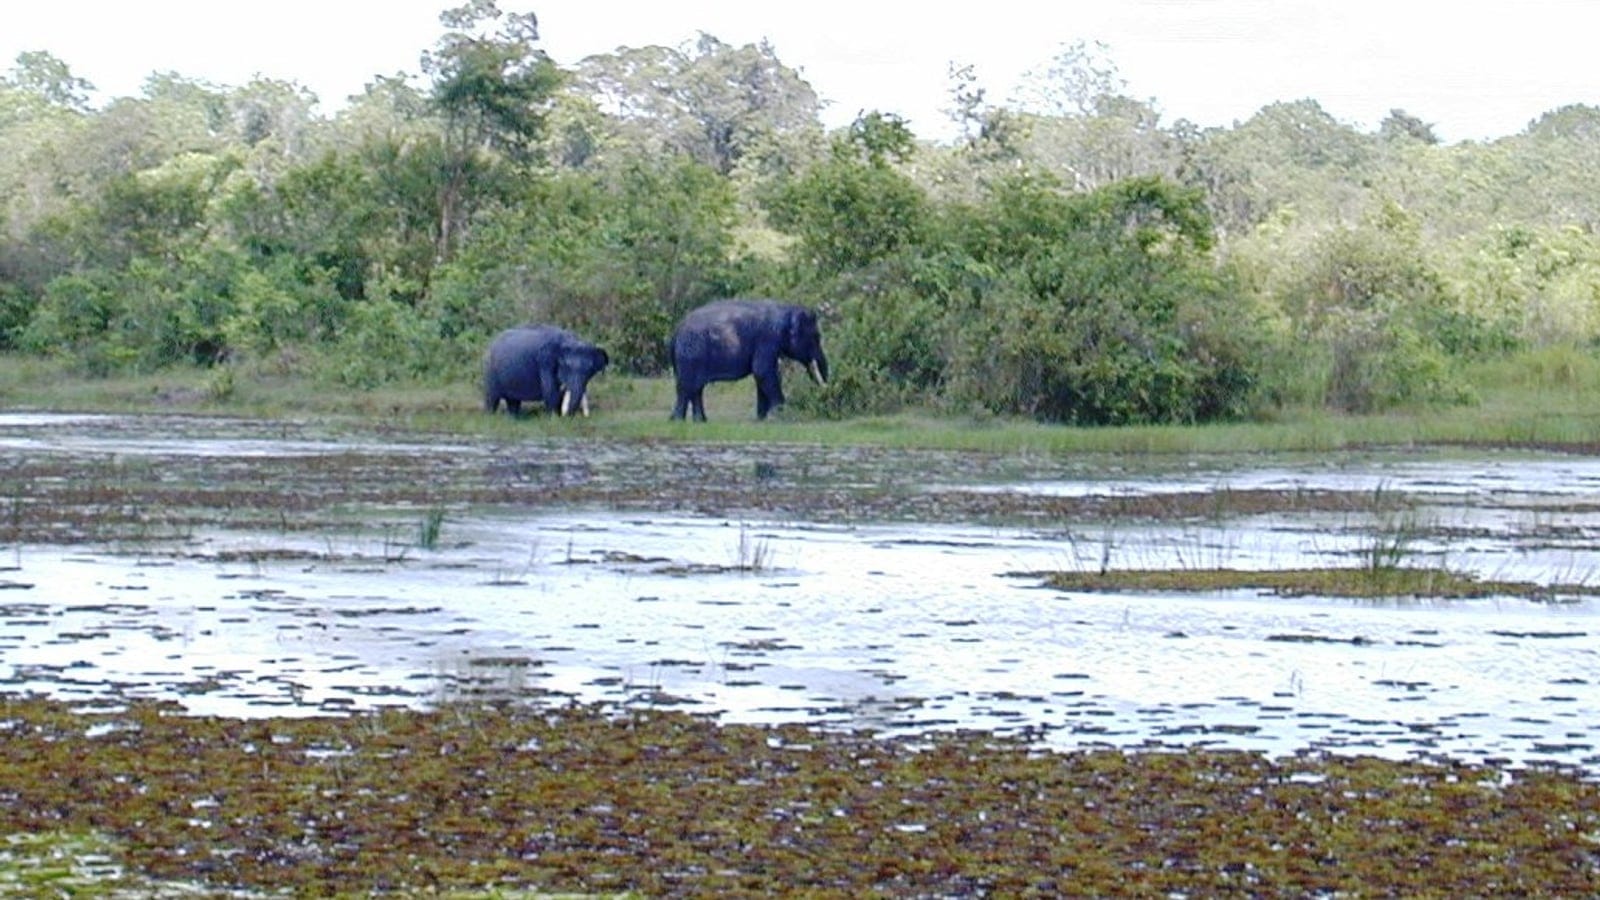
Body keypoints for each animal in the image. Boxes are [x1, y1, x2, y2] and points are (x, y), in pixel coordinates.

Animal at [670, 299, 829, 422]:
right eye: (816, 337)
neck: (787, 308)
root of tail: (676, 330)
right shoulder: (767, 338)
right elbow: (763, 372)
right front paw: (779, 416)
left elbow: (763, 375)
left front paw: (762, 419)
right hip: (690, 355)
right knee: (686, 388)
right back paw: (678, 421)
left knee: (696, 389)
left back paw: (699, 421)